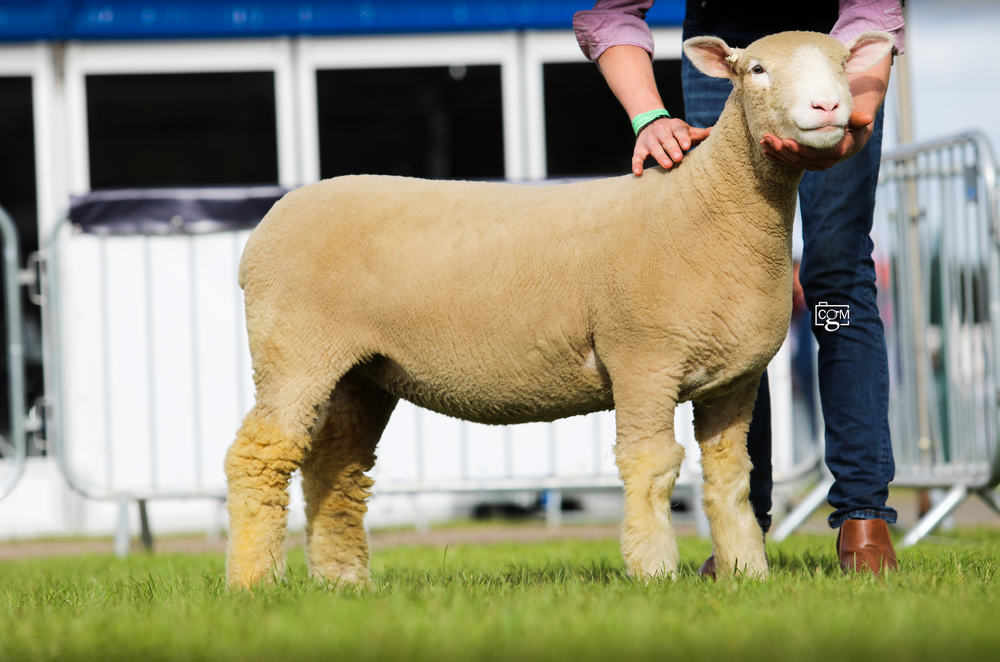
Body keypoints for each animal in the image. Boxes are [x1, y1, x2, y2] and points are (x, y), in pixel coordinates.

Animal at [225, 29, 896, 587]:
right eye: (756, 69)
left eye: (843, 66)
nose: (827, 109)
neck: (706, 207)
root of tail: (270, 221)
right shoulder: (642, 360)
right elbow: (652, 466)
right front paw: (655, 571)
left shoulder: (734, 379)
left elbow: (731, 477)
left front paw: (747, 574)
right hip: (294, 350)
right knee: (260, 457)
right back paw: (255, 584)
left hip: (364, 372)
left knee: (335, 469)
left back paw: (343, 582)